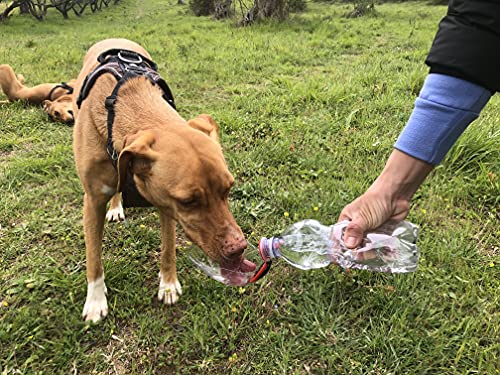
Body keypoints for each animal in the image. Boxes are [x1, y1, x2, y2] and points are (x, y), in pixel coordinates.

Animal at [72, 39, 256, 324]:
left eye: (228, 189)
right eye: (189, 201)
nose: (238, 249)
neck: (129, 104)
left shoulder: (165, 204)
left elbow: (169, 246)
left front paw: (168, 284)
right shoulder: (92, 201)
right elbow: (94, 257)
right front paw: (95, 301)